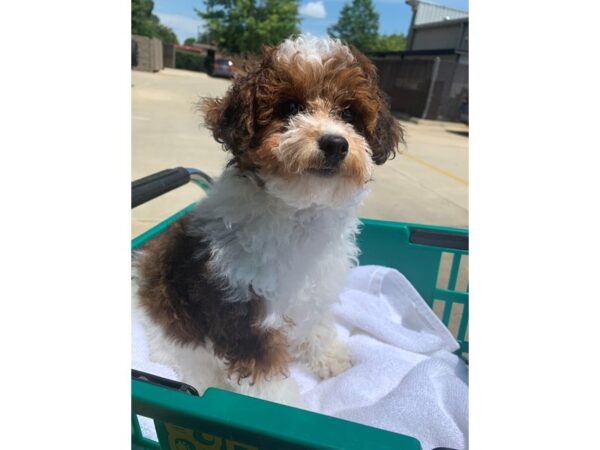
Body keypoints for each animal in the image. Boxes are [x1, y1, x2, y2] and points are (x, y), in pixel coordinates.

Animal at [132, 35, 404, 406]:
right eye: (289, 108)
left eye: (349, 113)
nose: (335, 143)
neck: (298, 211)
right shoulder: (244, 311)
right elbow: (268, 380)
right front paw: (290, 408)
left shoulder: (315, 284)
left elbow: (316, 322)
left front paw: (329, 357)